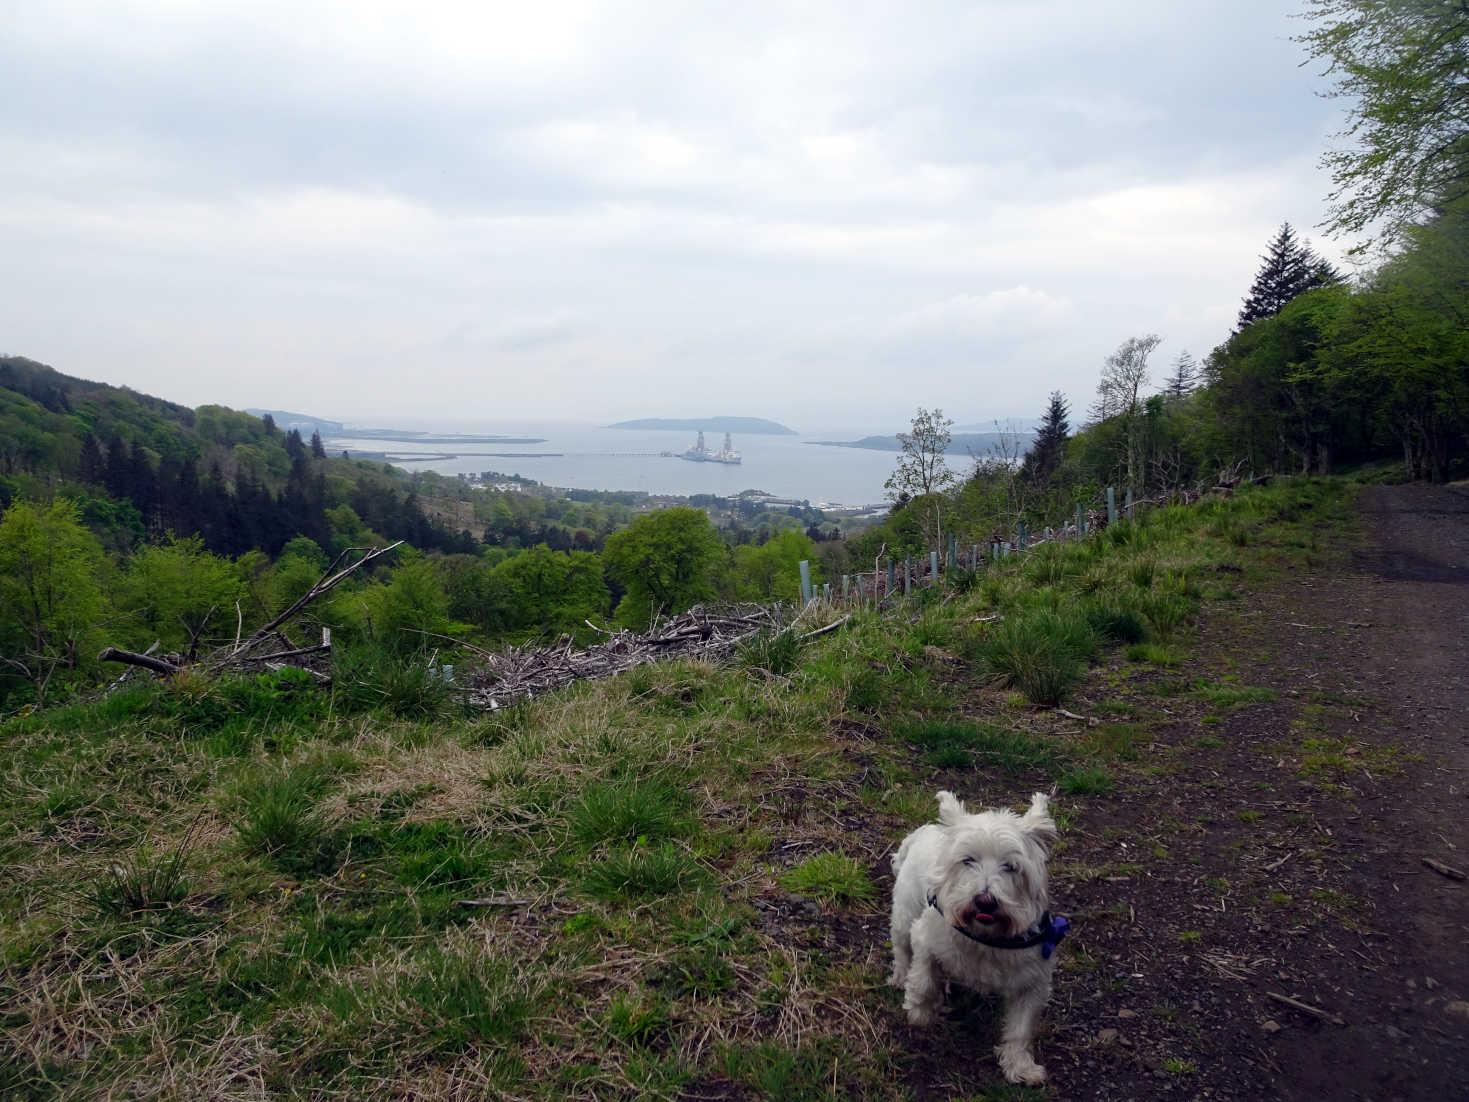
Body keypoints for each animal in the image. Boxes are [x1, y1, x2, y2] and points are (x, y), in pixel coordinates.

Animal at [887, 793, 1063, 1087]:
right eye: (967, 860)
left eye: (1011, 867)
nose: (985, 901)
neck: (985, 938)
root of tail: (926, 831)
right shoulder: (925, 939)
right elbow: (922, 980)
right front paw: (919, 1012)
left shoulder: (1033, 980)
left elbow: (1021, 1028)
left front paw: (1020, 1066)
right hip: (904, 914)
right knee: (902, 950)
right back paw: (901, 977)